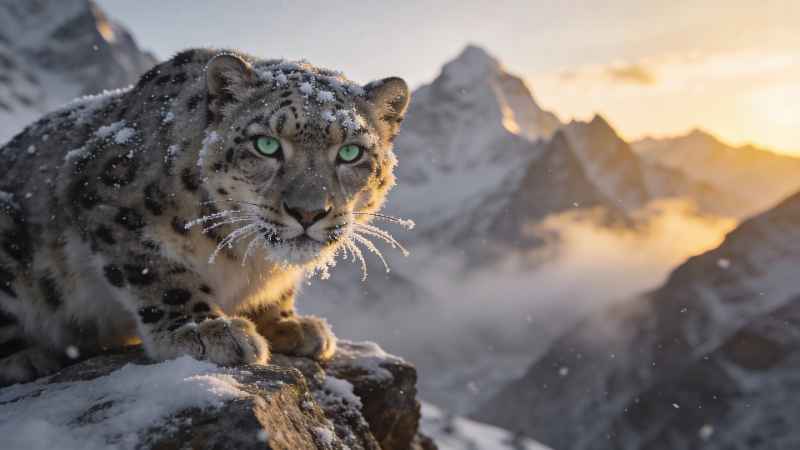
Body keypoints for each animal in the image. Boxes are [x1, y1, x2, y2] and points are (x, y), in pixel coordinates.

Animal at [0, 48, 410, 386]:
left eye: (351, 152)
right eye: (267, 144)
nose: (308, 211)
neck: (248, 261)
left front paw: (289, 324)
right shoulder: (111, 205)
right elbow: (160, 274)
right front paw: (206, 330)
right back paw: (26, 358)